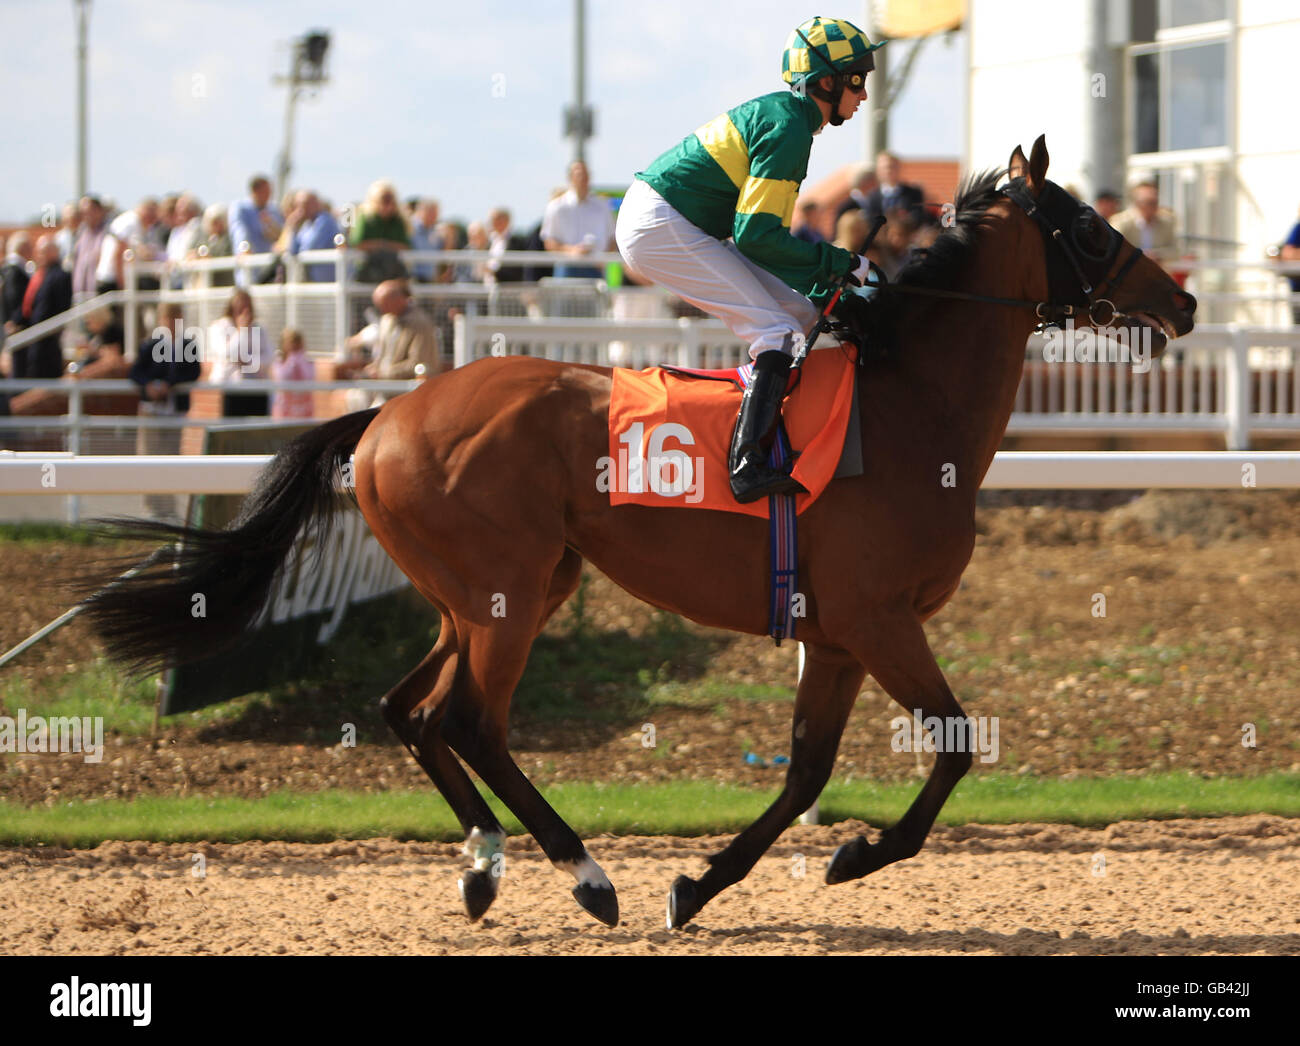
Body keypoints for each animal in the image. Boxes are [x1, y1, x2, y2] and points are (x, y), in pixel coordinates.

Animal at [86, 134, 1190, 925]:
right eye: (1089, 227)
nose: (1179, 300)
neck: (910, 406)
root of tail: (387, 414)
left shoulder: (838, 634)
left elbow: (806, 769)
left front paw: (702, 883)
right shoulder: (878, 620)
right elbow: (953, 746)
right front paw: (854, 853)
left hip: (498, 591)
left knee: (411, 709)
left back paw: (484, 864)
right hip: (506, 594)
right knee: (470, 721)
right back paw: (585, 873)